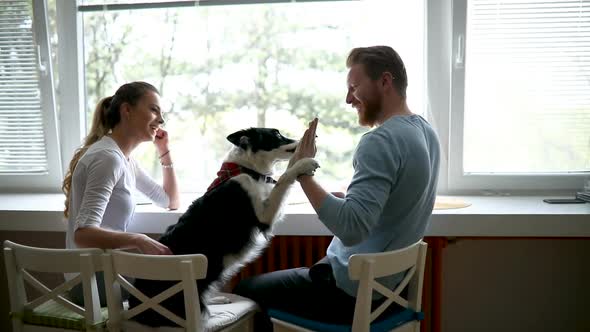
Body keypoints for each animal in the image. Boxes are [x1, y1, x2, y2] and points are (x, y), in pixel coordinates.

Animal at [132, 127, 322, 326]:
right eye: (276, 135)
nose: (315, 136)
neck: (247, 170)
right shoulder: (263, 216)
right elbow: (284, 178)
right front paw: (303, 163)